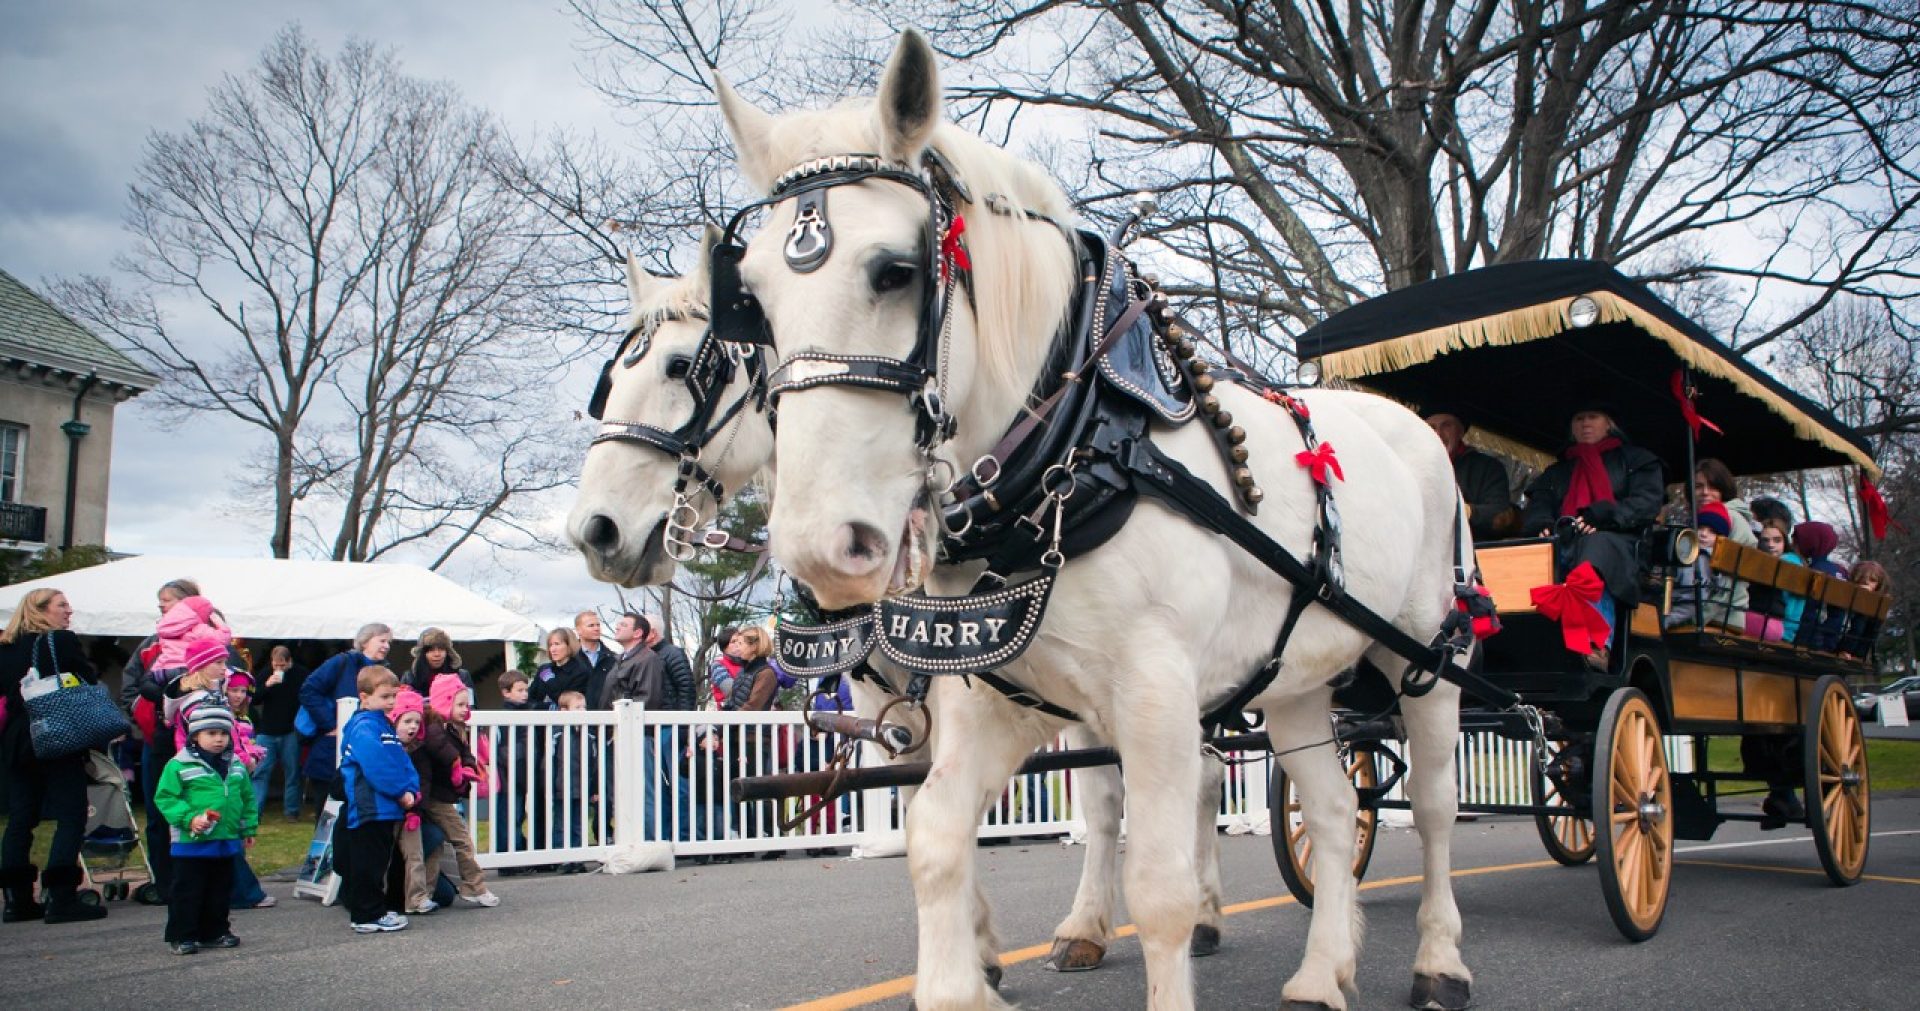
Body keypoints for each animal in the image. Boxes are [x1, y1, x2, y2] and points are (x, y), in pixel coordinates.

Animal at [568, 227, 1228, 982]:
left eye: (682, 368)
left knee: (1195, 779)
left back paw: (1203, 913)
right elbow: (922, 801)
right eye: (610, 382)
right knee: (1107, 794)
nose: (596, 530)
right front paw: (977, 947)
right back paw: (1088, 926)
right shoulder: (886, 700)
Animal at [718, 31, 1466, 1011]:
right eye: (752, 299)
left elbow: (1161, 886)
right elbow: (937, 834)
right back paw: (1320, 971)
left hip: (1425, 653)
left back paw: (1439, 959)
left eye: (895, 271)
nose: (820, 548)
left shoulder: (1156, 696)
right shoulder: (994, 696)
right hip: (1296, 681)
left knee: (1437, 807)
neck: (1078, 448)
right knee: (1339, 814)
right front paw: (966, 978)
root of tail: (1409, 422)